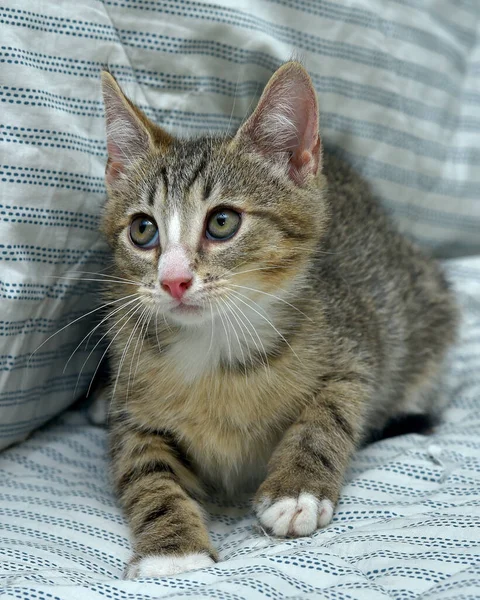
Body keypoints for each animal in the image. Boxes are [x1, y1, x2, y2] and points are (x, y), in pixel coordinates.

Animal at [99, 61, 456, 576]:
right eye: (143, 230)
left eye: (222, 222)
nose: (173, 280)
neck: (214, 345)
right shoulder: (132, 408)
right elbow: (146, 472)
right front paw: (173, 553)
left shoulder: (355, 345)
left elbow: (328, 415)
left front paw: (296, 490)